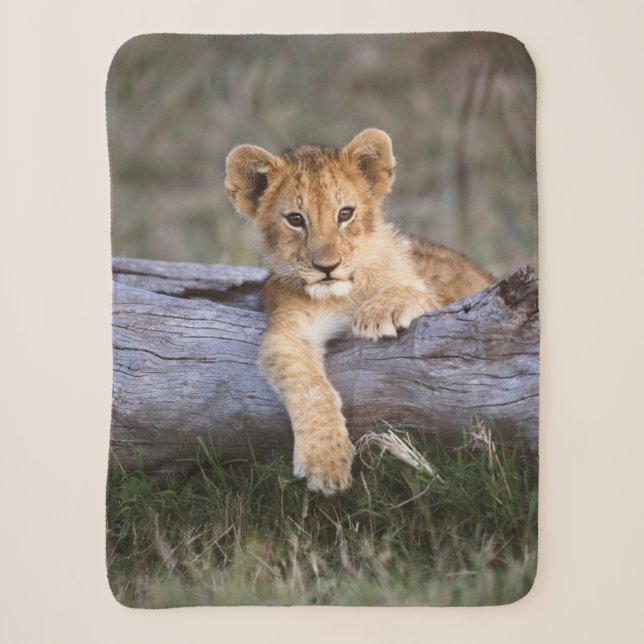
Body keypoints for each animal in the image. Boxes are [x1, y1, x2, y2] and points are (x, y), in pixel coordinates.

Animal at [225, 128, 494, 495]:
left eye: (345, 214)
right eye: (295, 220)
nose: (327, 267)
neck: (343, 295)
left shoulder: (441, 302)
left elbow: (414, 290)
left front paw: (380, 312)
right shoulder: (287, 330)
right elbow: (310, 387)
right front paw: (325, 462)